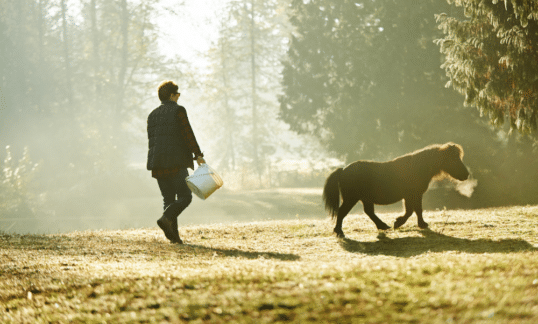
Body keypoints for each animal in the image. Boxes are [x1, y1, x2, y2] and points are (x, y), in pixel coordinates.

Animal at [322, 143, 468, 237]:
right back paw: (339, 232)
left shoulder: (413, 196)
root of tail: (343, 170)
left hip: (364, 199)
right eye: (454, 159)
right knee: (342, 212)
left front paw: (419, 224)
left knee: (369, 212)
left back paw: (382, 226)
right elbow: (412, 211)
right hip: (351, 198)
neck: (418, 167)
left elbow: (416, 210)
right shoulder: (413, 195)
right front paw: (400, 223)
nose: (466, 174)